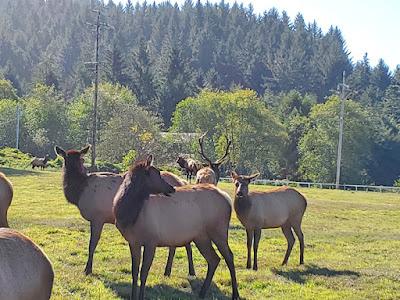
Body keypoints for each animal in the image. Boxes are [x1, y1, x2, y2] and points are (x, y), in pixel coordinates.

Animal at [55, 145, 195, 276]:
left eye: (81, 159)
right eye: (66, 159)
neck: (79, 191)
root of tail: (181, 182)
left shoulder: (97, 217)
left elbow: (92, 244)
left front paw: (88, 269)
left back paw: (183, 271)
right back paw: (176, 271)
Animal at [112, 156, 239, 298]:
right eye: (155, 174)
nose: (171, 188)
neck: (128, 215)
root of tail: (227, 198)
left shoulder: (151, 241)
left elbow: (144, 273)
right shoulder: (133, 242)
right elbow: (134, 273)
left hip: (218, 230)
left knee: (229, 256)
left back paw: (235, 293)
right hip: (201, 237)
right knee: (214, 259)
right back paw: (202, 292)